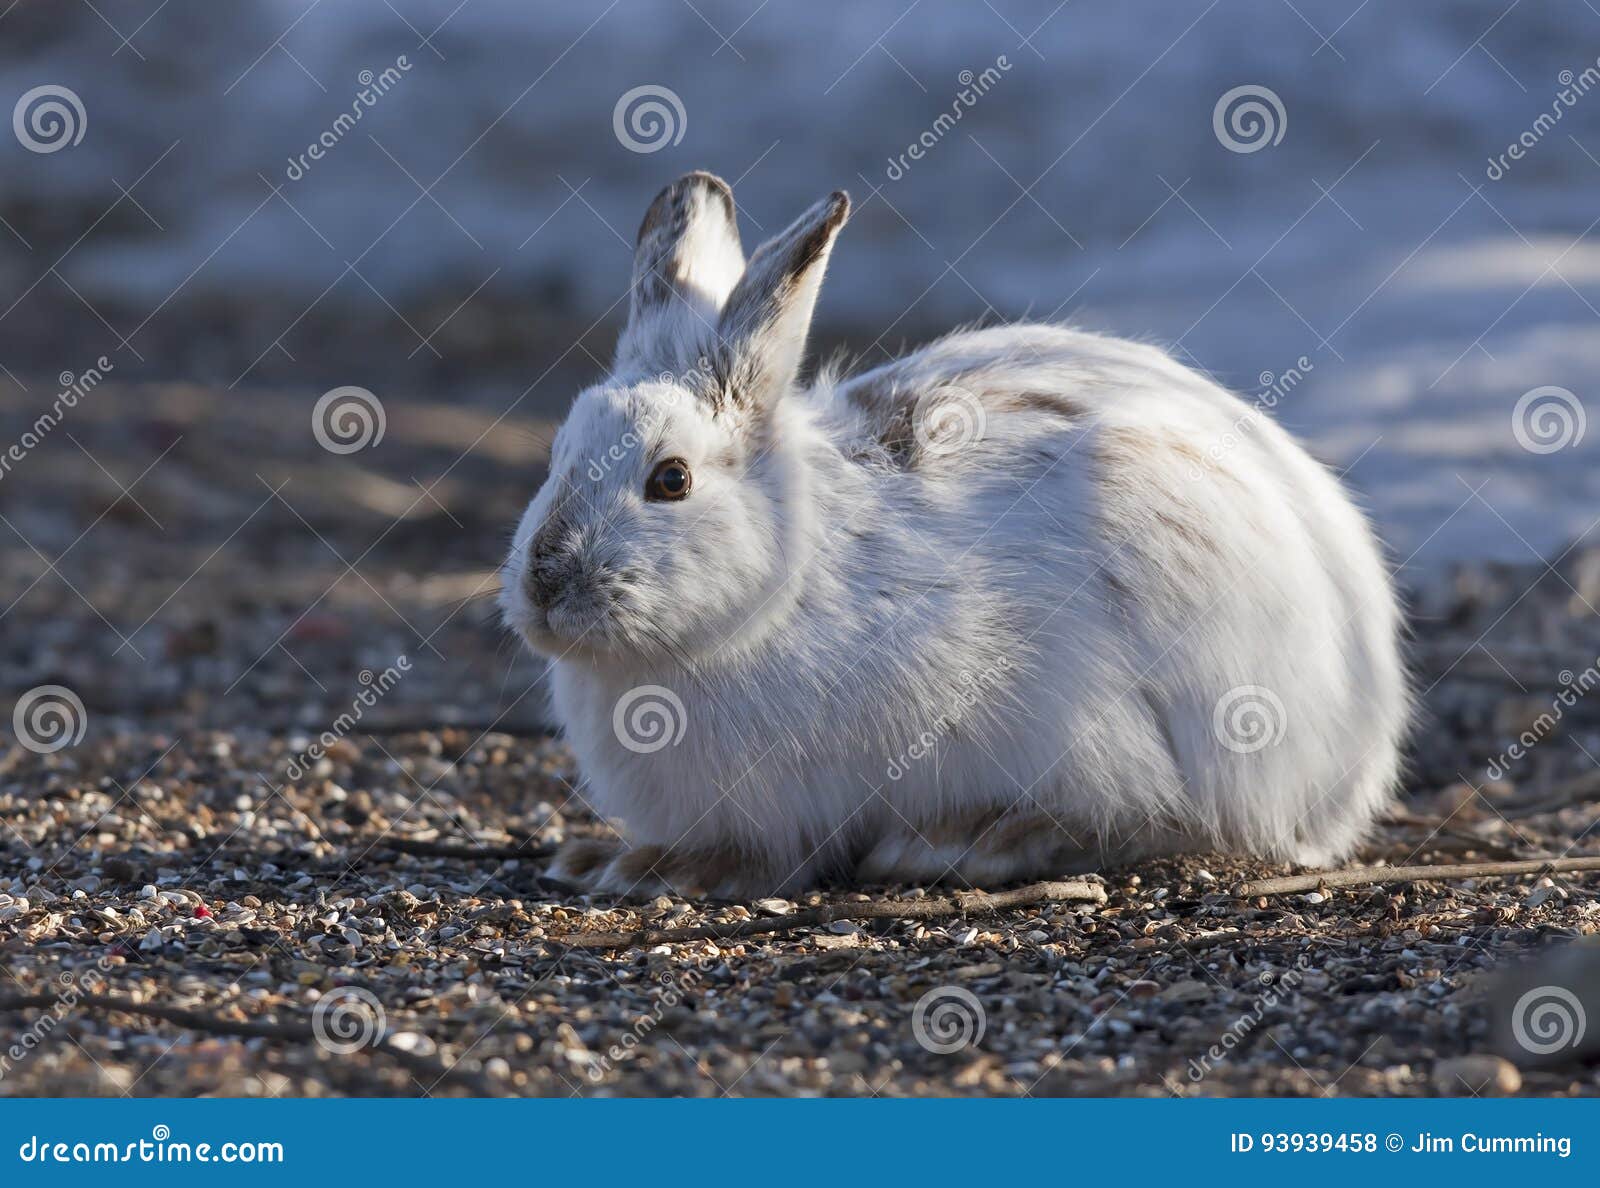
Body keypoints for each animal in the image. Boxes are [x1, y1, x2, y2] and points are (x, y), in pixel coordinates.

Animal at [499, 170, 1408, 899]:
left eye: (671, 480)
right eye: (555, 455)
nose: (543, 583)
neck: (778, 593)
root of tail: (1358, 749)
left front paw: (660, 870)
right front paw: (609, 860)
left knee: (1175, 819)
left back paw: (966, 842)